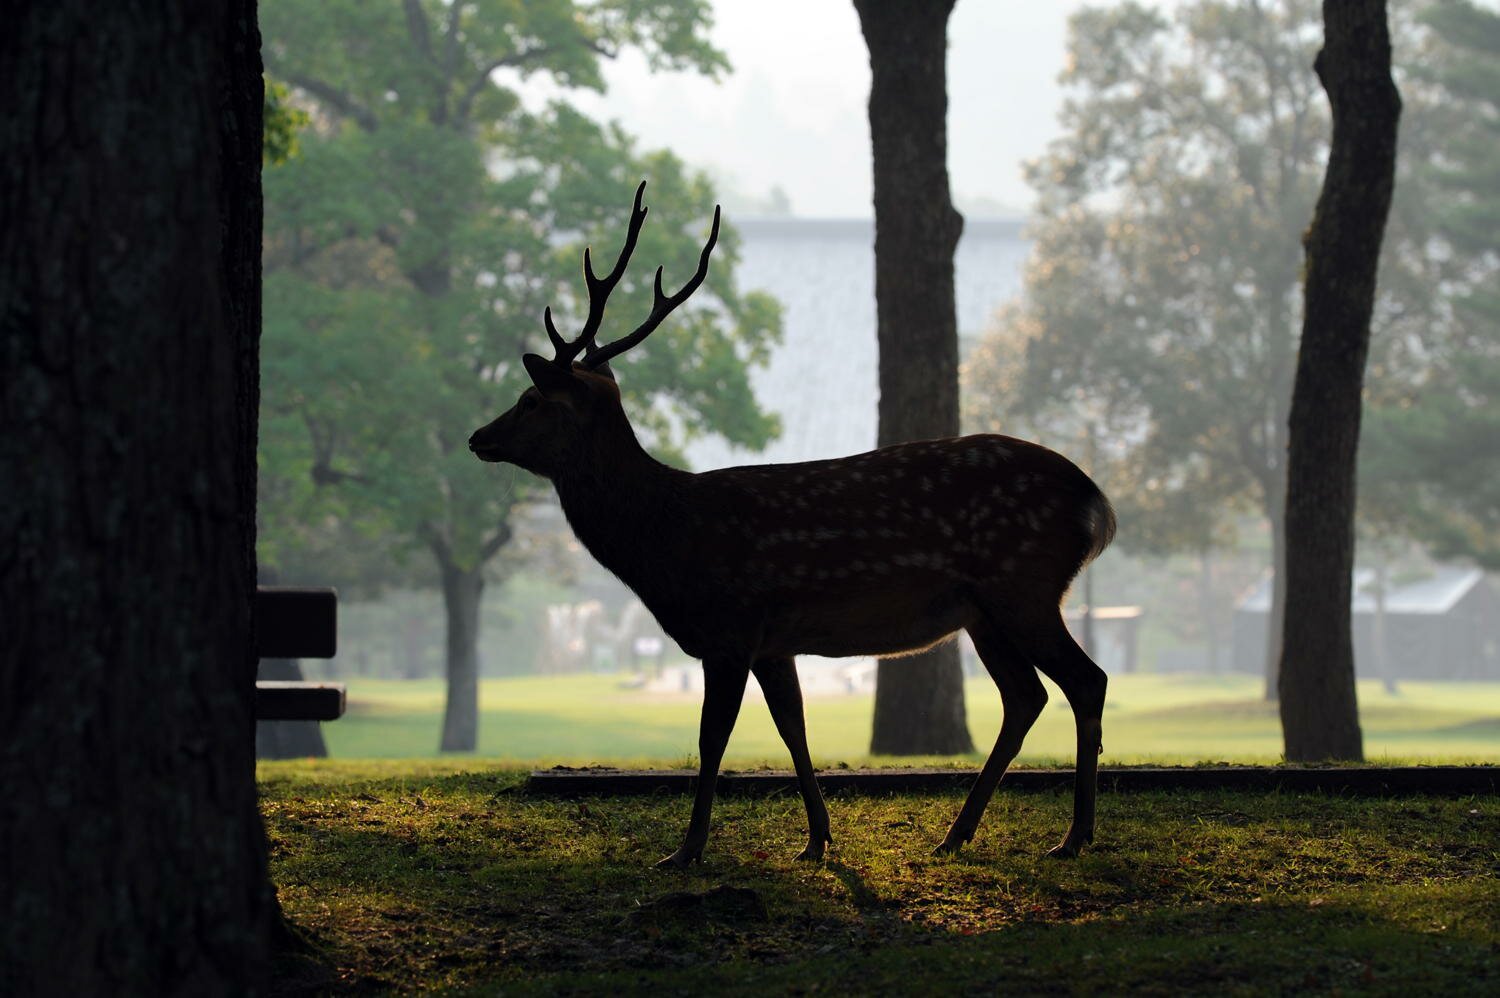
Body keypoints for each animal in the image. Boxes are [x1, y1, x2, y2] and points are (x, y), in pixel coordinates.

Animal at [468, 183, 1116, 870]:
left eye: (530, 400)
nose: (477, 436)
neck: (665, 541)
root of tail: (1094, 500)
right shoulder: (774, 642)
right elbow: (792, 728)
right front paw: (817, 840)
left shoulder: (729, 627)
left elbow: (712, 741)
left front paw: (686, 850)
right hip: (983, 611)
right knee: (1026, 697)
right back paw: (957, 833)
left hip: (1023, 584)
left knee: (1086, 681)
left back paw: (1074, 835)